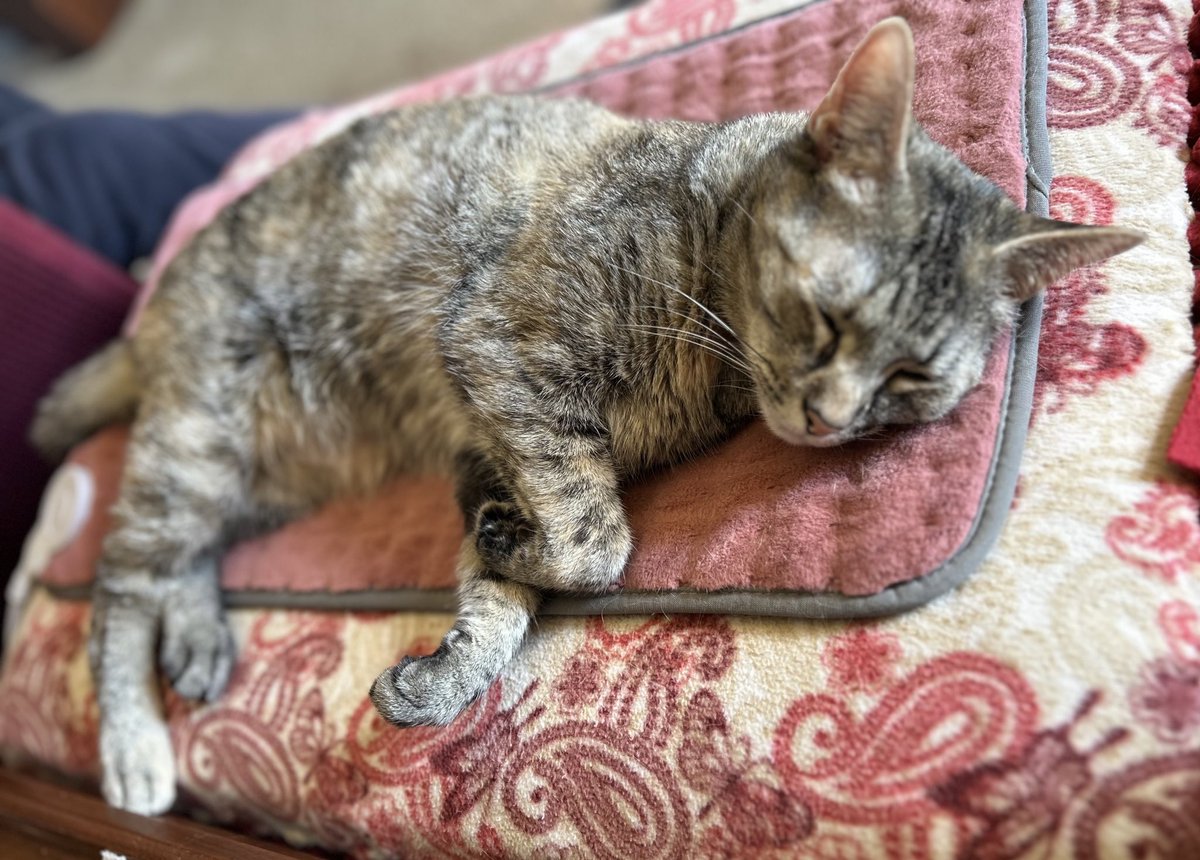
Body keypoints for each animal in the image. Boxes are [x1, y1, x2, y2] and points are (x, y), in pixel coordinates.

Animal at [25, 16, 1132, 815]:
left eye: (908, 376)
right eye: (825, 315)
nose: (827, 418)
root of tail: (150, 309)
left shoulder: (496, 452)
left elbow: (513, 585)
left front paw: (452, 662)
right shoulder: (502, 358)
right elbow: (600, 544)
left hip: (267, 471)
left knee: (174, 561)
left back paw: (198, 639)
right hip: (201, 441)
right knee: (120, 583)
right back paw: (135, 742)